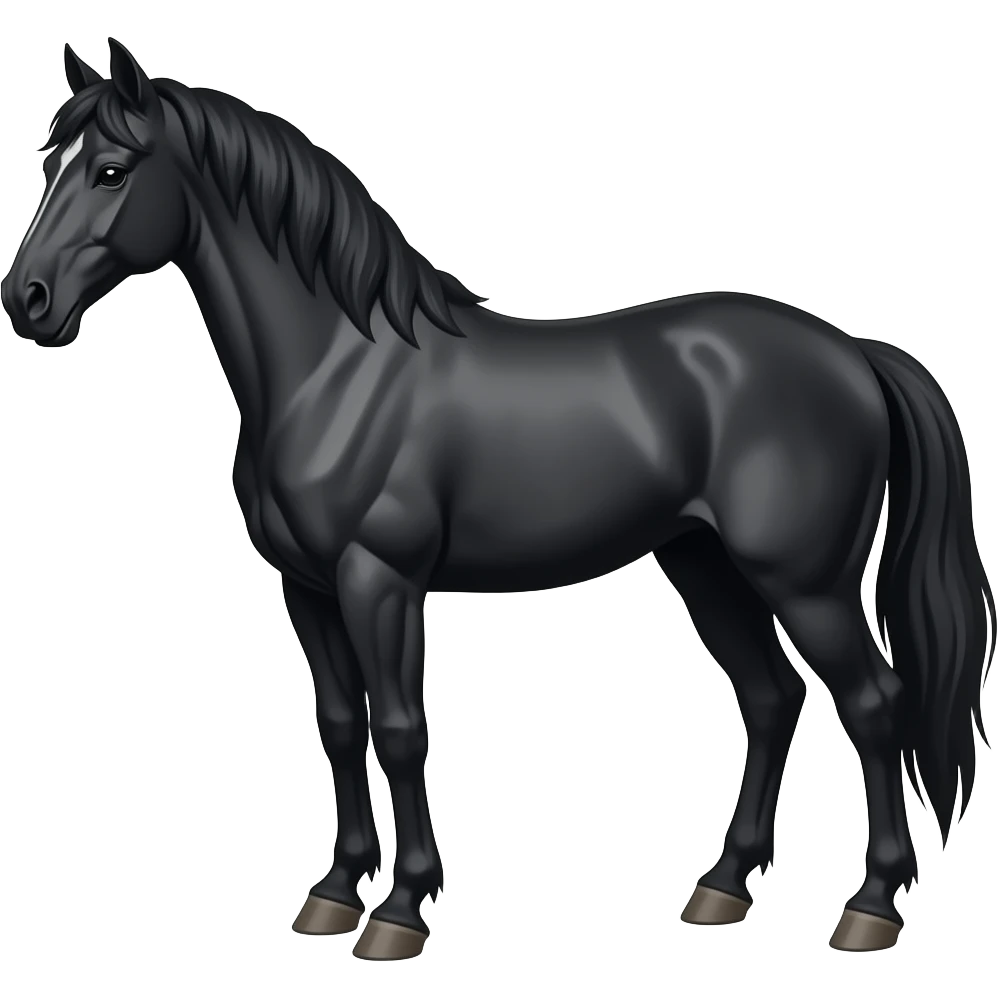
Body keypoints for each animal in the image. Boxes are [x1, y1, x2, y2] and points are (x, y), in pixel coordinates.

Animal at [2, 39, 993, 961]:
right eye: (49, 165)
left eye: (111, 169)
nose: (28, 300)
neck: (338, 367)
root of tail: (854, 352)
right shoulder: (308, 588)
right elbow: (339, 725)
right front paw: (334, 894)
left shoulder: (381, 580)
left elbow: (401, 730)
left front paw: (400, 912)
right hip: (702, 563)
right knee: (771, 696)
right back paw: (722, 887)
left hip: (805, 582)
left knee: (873, 703)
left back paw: (870, 907)